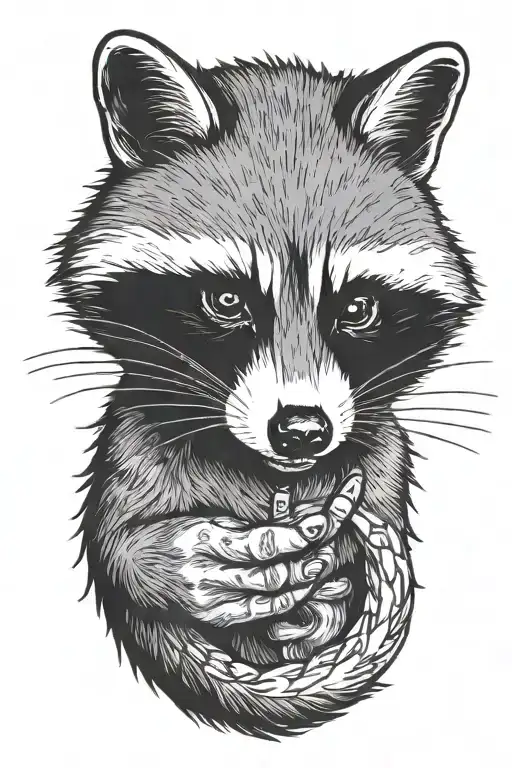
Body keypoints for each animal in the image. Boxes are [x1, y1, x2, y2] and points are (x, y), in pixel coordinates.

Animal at [47, 30, 480, 738]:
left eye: (357, 308)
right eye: (227, 300)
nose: (302, 431)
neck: (270, 475)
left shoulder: (379, 458)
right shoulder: (137, 439)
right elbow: (121, 537)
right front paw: (163, 564)